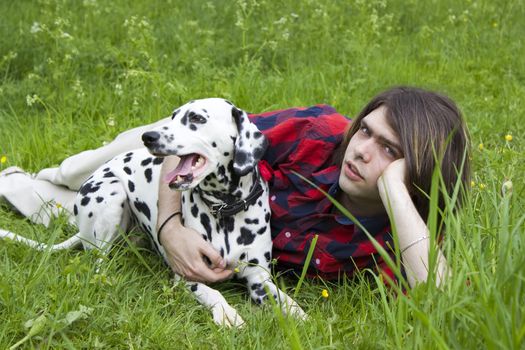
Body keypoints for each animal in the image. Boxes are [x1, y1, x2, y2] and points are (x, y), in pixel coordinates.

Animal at [0, 98, 304, 328]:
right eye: (173, 116)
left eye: (197, 118)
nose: (149, 136)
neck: (224, 210)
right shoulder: (187, 276)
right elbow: (213, 292)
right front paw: (227, 313)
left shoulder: (258, 278)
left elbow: (284, 300)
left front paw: (299, 314)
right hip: (110, 196)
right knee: (97, 262)